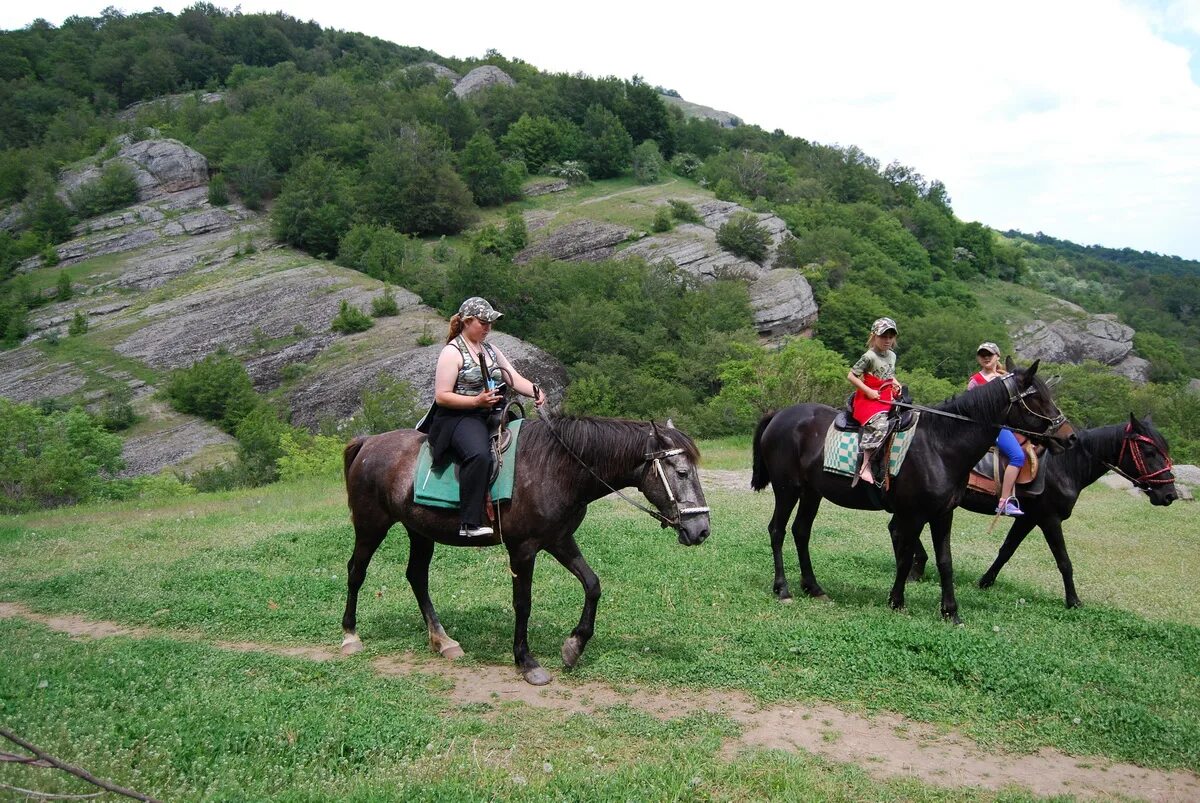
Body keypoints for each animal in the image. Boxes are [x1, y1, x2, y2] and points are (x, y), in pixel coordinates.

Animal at [340, 417, 710, 686]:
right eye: (681, 472)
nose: (701, 529)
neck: (556, 468)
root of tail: (368, 442)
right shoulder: (523, 549)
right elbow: (523, 604)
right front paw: (526, 661)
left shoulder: (559, 540)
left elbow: (592, 585)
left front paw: (573, 647)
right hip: (371, 525)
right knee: (356, 572)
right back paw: (350, 635)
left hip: (419, 531)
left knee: (417, 577)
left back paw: (443, 641)